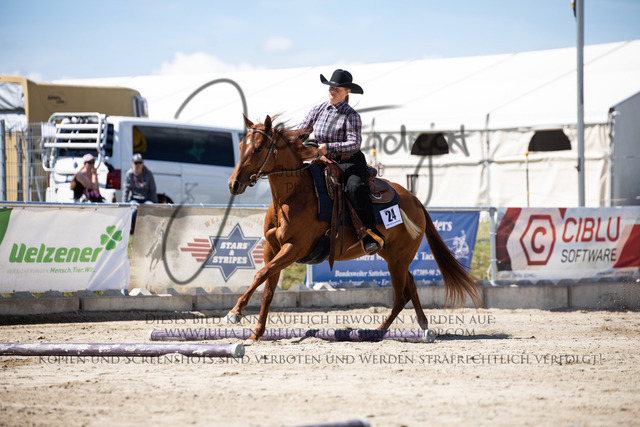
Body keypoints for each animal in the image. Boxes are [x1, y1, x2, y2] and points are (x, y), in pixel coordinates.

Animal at [227, 115, 482, 342]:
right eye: (240, 146)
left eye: (258, 148)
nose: (234, 184)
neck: (293, 195)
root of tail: (415, 200)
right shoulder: (272, 249)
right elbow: (268, 288)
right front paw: (256, 333)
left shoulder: (293, 249)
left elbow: (260, 274)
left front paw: (235, 313)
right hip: (393, 256)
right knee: (410, 286)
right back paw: (418, 325)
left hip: (398, 260)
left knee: (401, 295)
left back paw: (378, 332)